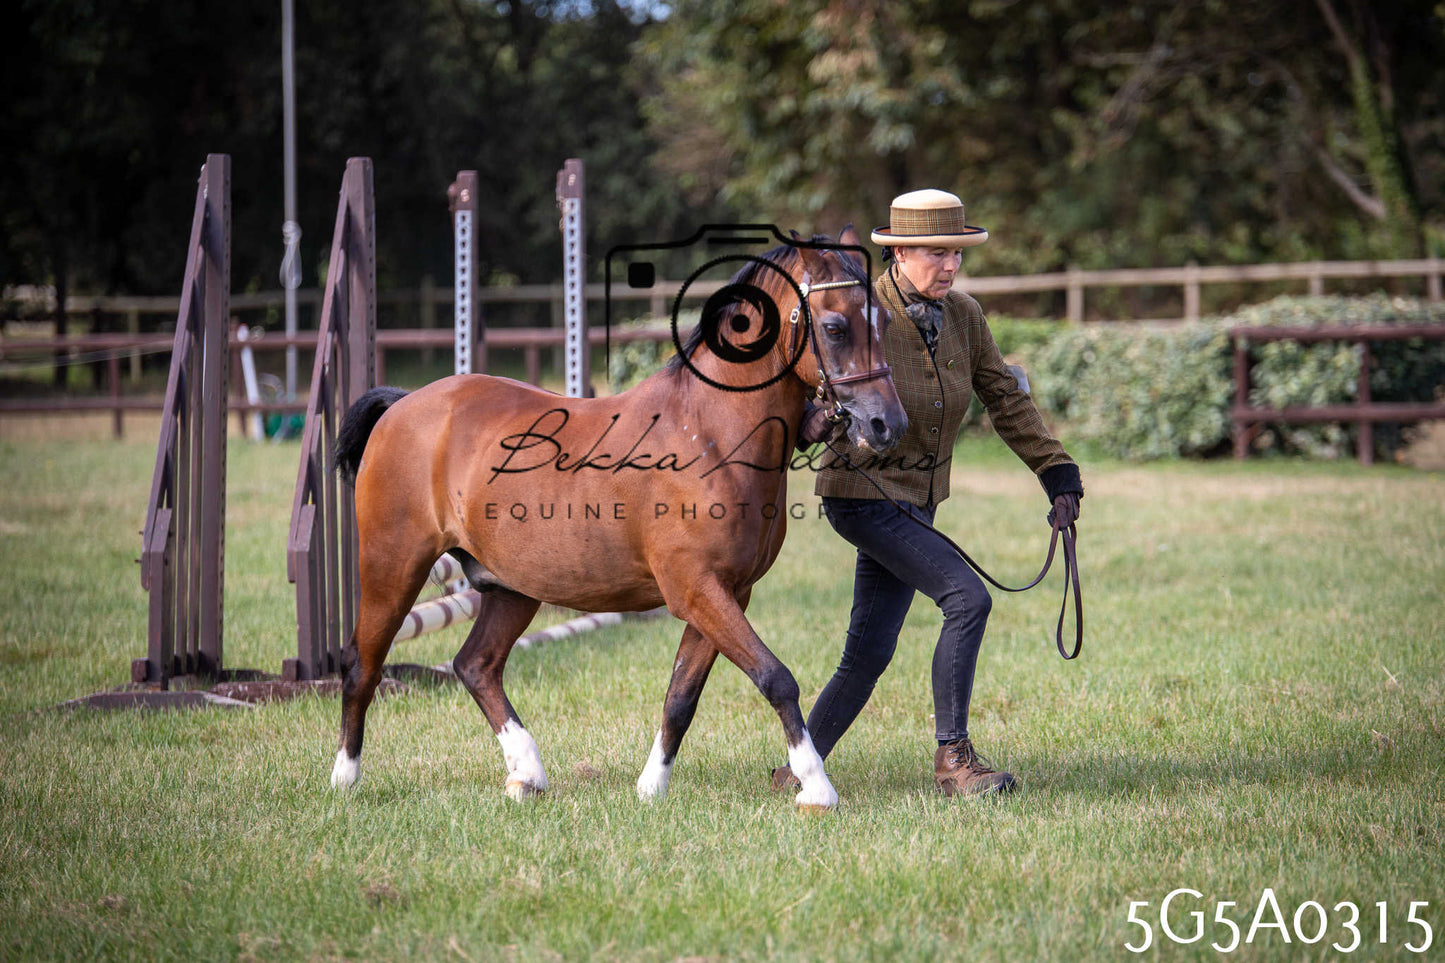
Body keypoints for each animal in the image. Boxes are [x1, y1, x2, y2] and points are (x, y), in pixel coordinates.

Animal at [328, 226, 906, 811]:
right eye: (834, 327)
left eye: (883, 320)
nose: (888, 425)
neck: (709, 431)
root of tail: (404, 405)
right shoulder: (698, 590)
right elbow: (775, 677)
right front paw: (816, 786)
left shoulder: (725, 595)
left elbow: (681, 696)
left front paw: (651, 787)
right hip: (393, 569)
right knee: (362, 665)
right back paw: (345, 779)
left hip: (514, 587)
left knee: (476, 665)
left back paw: (526, 774)